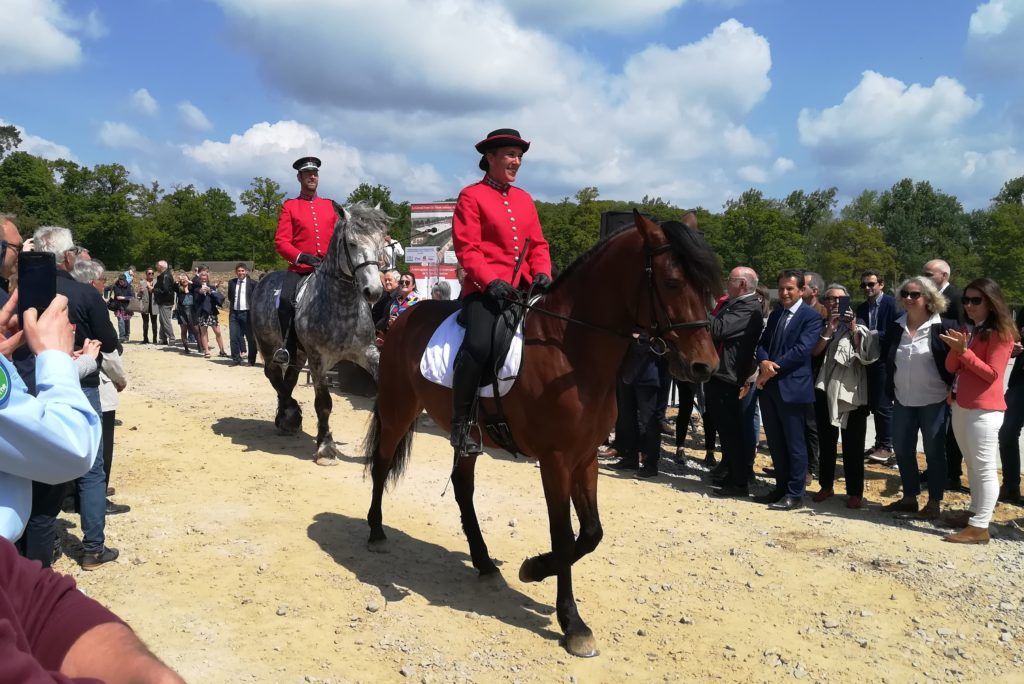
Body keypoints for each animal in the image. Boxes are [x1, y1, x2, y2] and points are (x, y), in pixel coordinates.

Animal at [251, 197, 387, 464]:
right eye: (352, 243)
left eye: (380, 243)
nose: (374, 292)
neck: (342, 306)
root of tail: (263, 280)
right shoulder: (318, 360)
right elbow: (323, 403)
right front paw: (325, 446)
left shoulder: (368, 352)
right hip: (269, 345)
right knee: (274, 375)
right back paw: (289, 413)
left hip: (297, 352)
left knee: (289, 379)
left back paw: (287, 415)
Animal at [360, 209, 720, 655]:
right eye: (672, 281)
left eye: (708, 287)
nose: (705, 367)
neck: (570, 350)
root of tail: (403, 316)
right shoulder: (556, 461)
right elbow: (564, 536)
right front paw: (572, 622)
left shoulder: (585, 458)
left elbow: (592, 533)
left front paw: (533, 569)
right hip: (397, 410)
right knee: (381, 465)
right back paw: (376, 531)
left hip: (467, 437)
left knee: (462, 487)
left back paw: (483, 562)